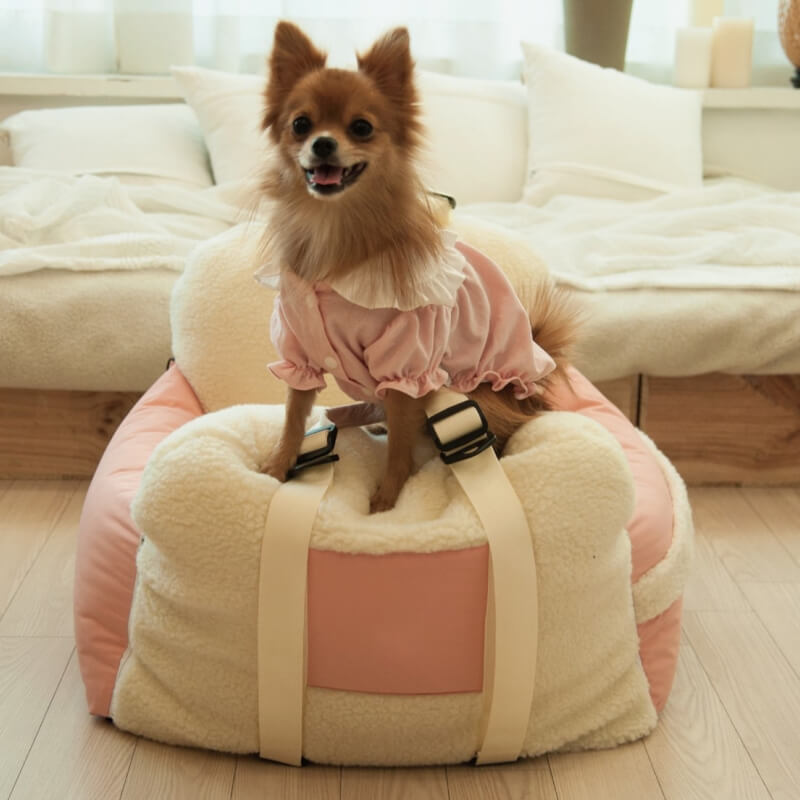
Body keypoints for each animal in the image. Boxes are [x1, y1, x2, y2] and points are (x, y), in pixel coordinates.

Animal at [260, 25, 580, 516]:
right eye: (300, 124)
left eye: (361, 127)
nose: (323, 143)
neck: (336, 230)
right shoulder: (300, 354)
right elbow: (294, 417)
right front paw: (279, 467)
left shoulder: (406, 365)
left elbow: (398, 446)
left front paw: (387, 499)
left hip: (479, 389)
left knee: (501, 429)